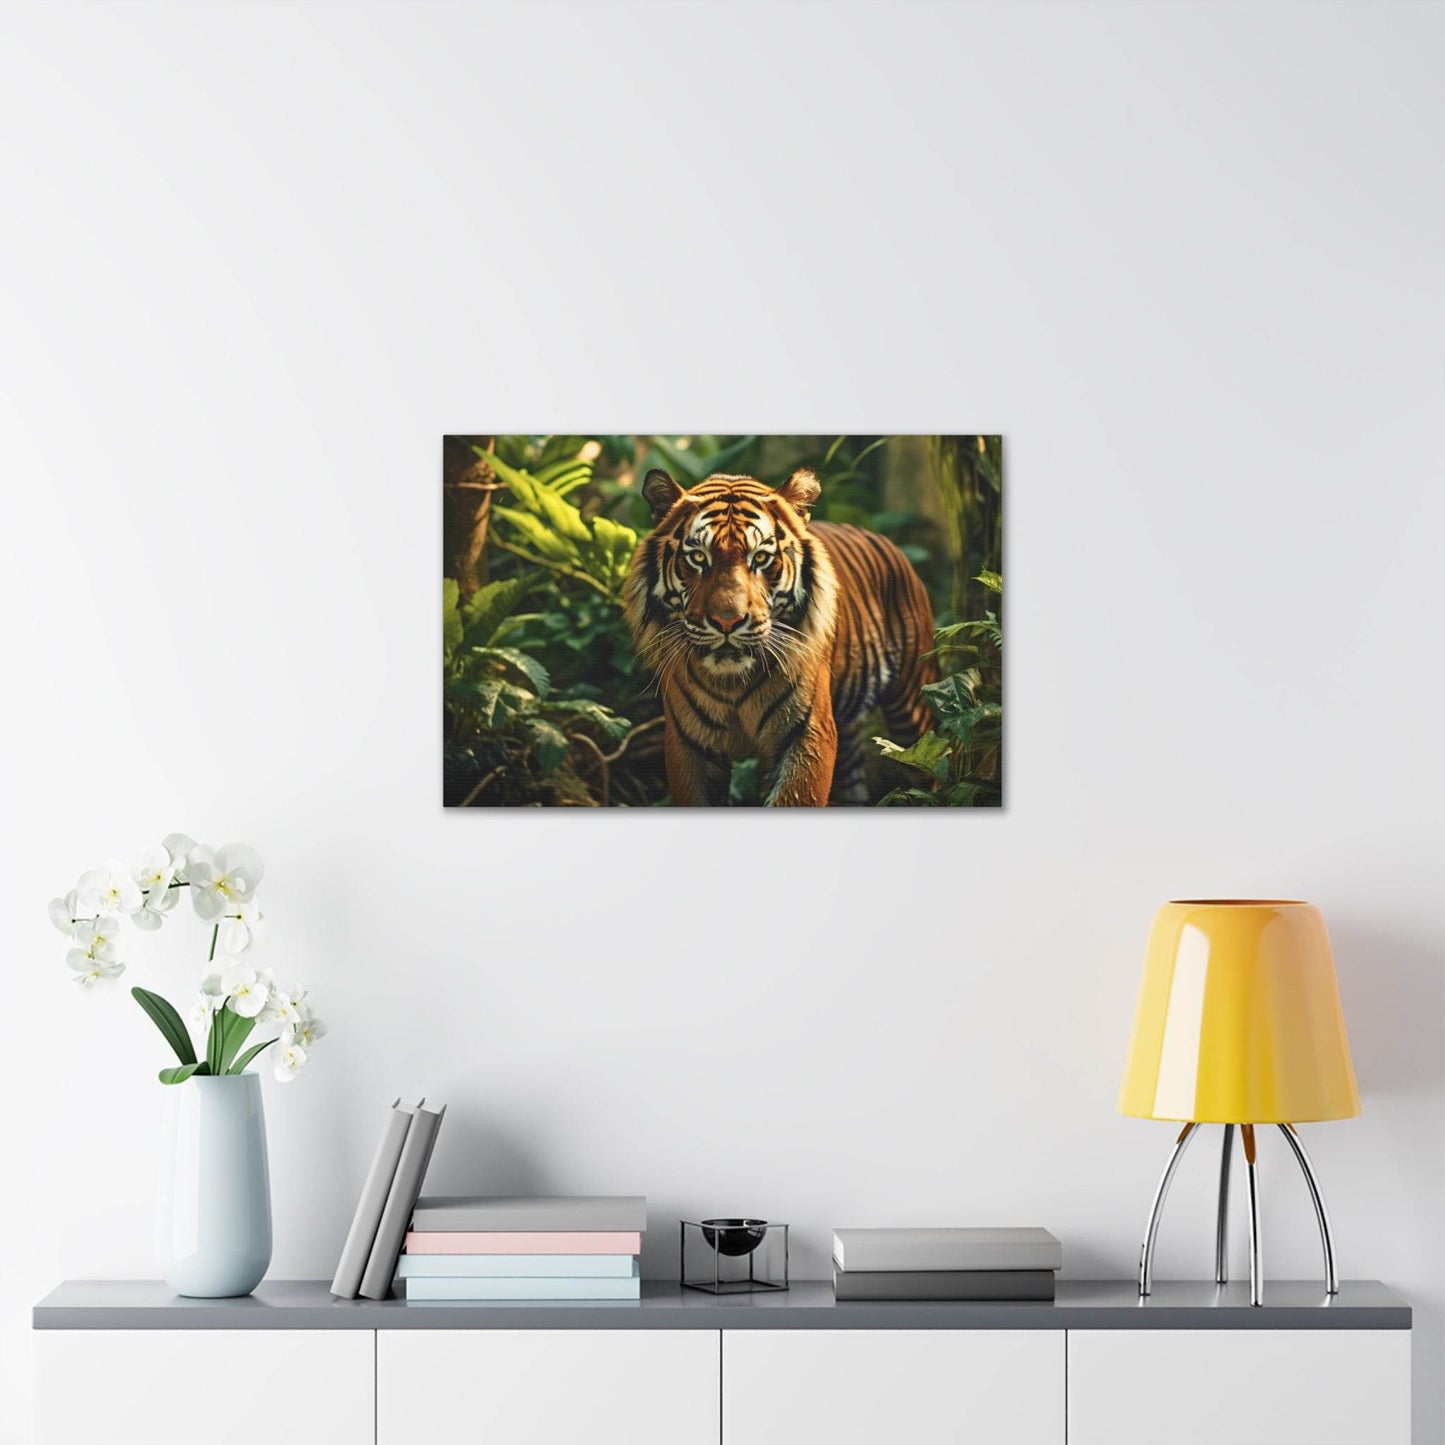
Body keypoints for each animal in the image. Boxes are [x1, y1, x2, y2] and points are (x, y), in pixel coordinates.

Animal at [623, 466, 937, 806]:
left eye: (760, 558)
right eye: (697, 557)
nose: (727, 621)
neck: (732, 683)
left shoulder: (808, 733)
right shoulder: (688, 744)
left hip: (913, 706)